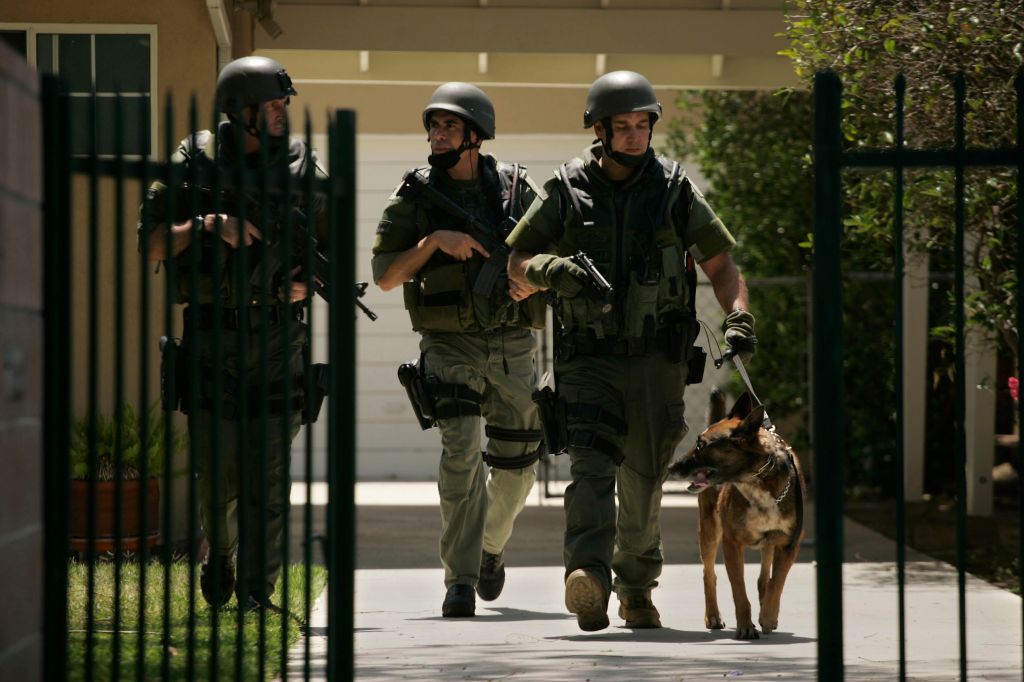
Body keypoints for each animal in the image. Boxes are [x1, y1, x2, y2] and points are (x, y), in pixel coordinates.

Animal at [667, 387, 802, 638]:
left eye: (701, 445)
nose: (671, 467)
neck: (757, 481)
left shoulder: (790, 545)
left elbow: (777, 583)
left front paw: (768, 616)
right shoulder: (731, 544)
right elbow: (739, 591)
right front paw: (746, 626)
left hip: (769, 542)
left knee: (764, 576)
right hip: (709, 533)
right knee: (709, 574)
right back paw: (713, 616)